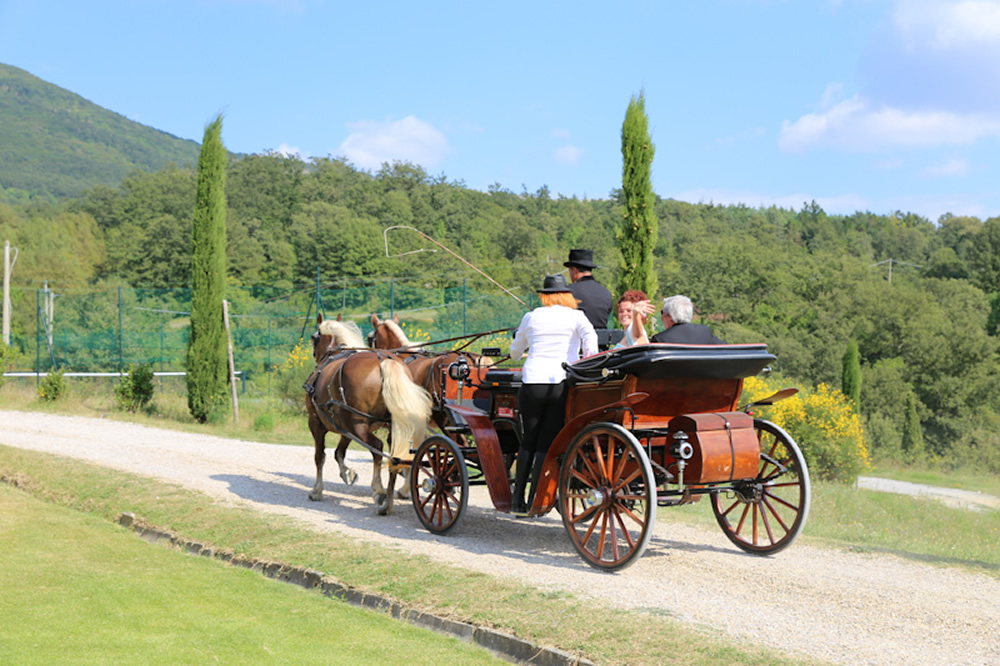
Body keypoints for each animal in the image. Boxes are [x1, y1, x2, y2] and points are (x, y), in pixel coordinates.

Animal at [304, 316, 430, 512]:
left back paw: (379, 490)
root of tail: (384, 360)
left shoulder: (316, 423)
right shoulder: (345, 427)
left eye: (313, 337)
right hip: (388, 426)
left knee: (378, 448)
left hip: (357, 425)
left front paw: (317, 490)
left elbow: (320, 457)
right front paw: (347, 473)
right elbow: (339, 452)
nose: (315, 356)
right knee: (396, 455)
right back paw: (389, 500)